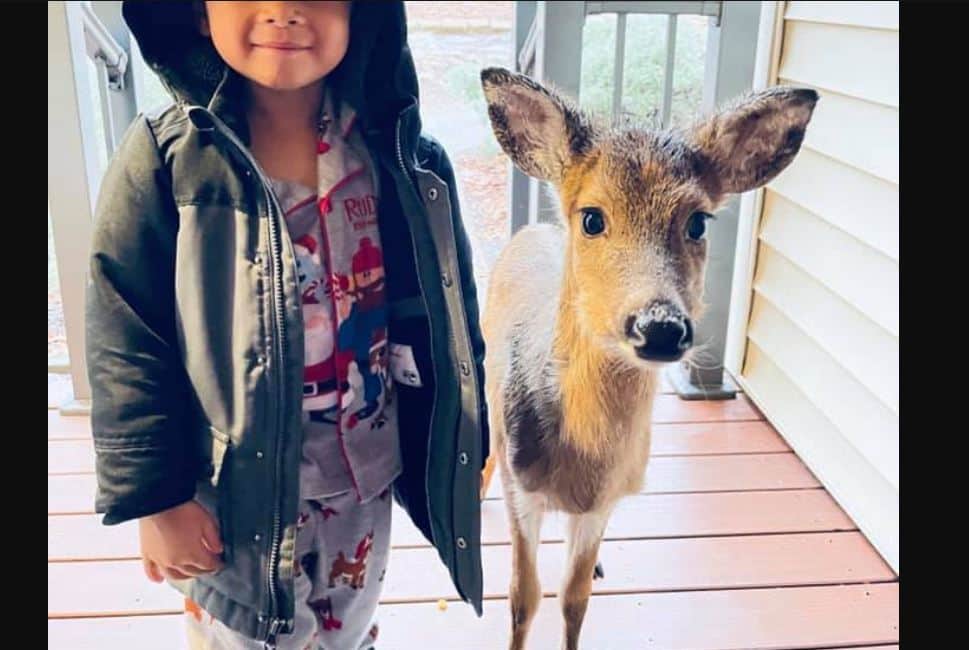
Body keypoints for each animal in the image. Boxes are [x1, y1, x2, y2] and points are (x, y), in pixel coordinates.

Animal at [476, 67, 818, 650]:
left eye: (699, 221)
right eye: (592, 218)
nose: (659, 326)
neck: (583, 462)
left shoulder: (605, 501)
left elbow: (573, 600)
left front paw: (586, 580)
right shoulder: (523, 489)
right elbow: (523, 598)